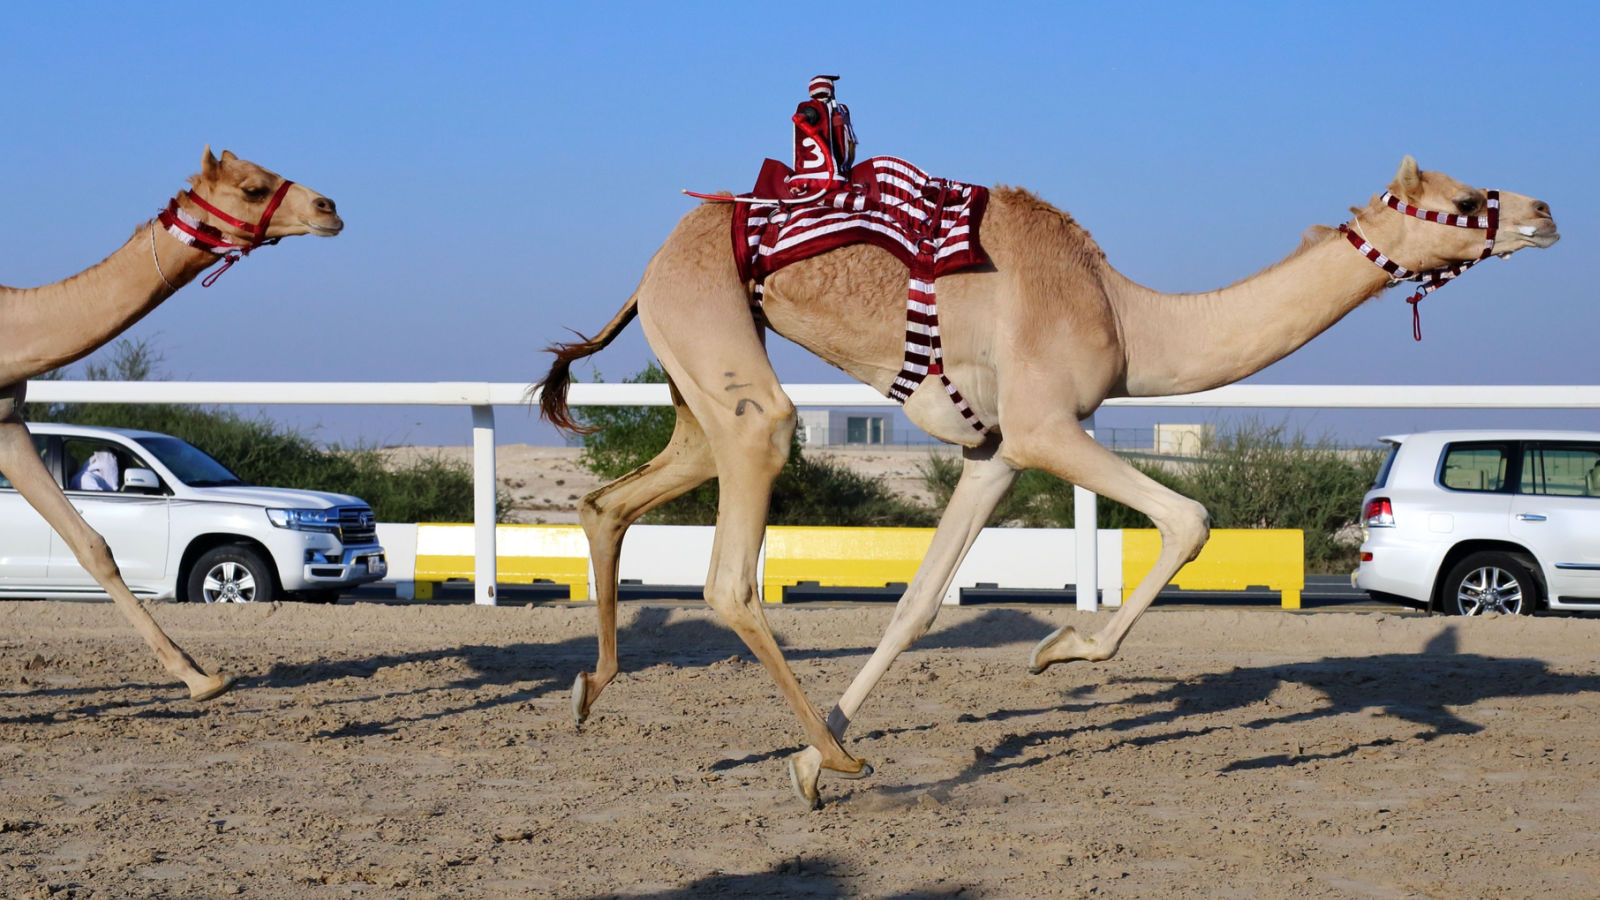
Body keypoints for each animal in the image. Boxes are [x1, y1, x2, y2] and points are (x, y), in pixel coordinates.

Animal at [535, 156, 1558, 807]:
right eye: (1469, 193)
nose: (1545, 211)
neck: (1129, 318)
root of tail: (652, 266)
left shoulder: (995, 453)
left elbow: (917, 605)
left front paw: (803, 766)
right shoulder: (1045, 425)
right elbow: (1189, 517)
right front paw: (1057, 650)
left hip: (694, 384)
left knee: (609, 501)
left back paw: (594, 691)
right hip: (727, 358)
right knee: (729, 571)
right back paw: (845, 758)